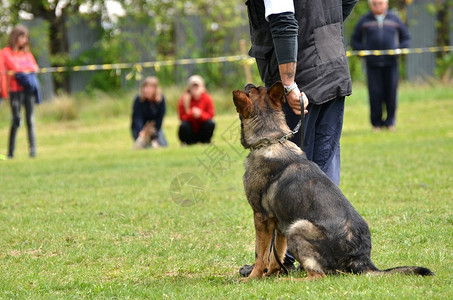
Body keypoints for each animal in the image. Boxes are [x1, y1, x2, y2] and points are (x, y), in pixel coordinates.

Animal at [231, 81, 432, 278]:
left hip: (298, 227)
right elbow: (276, 254)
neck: (271, 140)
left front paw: (253, 277)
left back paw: (290, 280)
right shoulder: (280, 224)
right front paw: (271, 274)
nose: (249, 83)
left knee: (318, 276)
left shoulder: (262, 217)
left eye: (252, 90)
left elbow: (261, 254)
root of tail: (362, 258)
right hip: (291, 227)